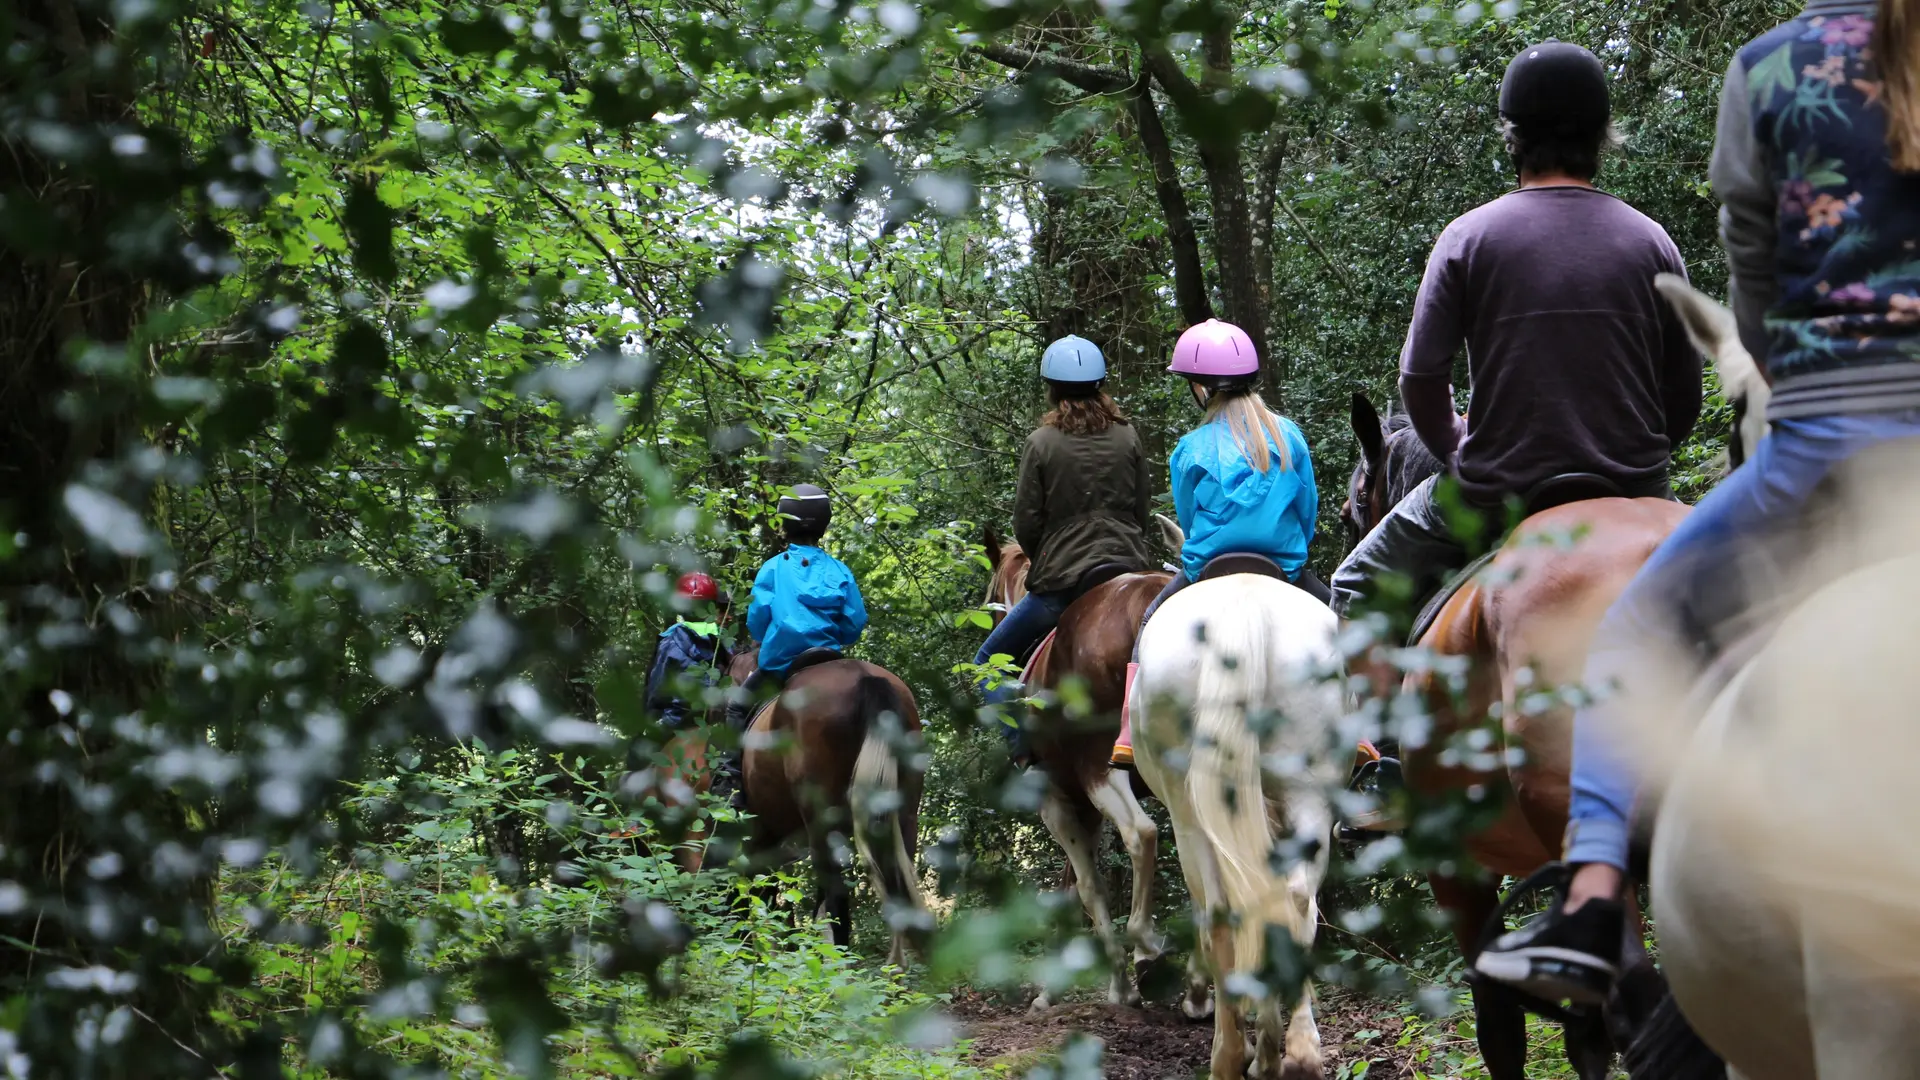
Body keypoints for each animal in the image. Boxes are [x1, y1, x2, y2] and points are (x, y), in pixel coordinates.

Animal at [1128, 564, 1344, 1076]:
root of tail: (1242, 602)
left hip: (1187, 809)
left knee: (1220, 914)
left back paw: (1231, 1054)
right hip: (1310, 791)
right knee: (1294, 899)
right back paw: (1297, 1053)